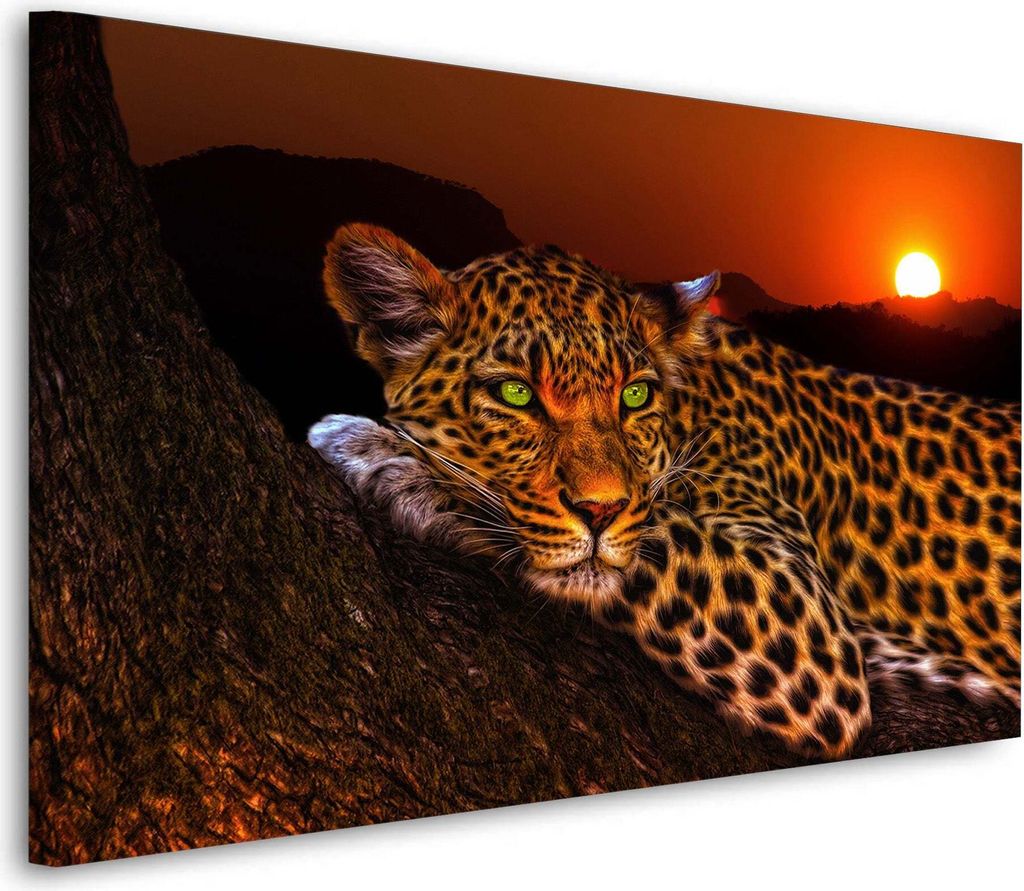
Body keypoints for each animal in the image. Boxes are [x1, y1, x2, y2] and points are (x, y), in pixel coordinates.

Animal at [309, 222, 1021, 760]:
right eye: (515, 394)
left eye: (634, 395)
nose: (599, 510)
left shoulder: (807, 621)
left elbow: (652, 537)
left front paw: (387, 455)